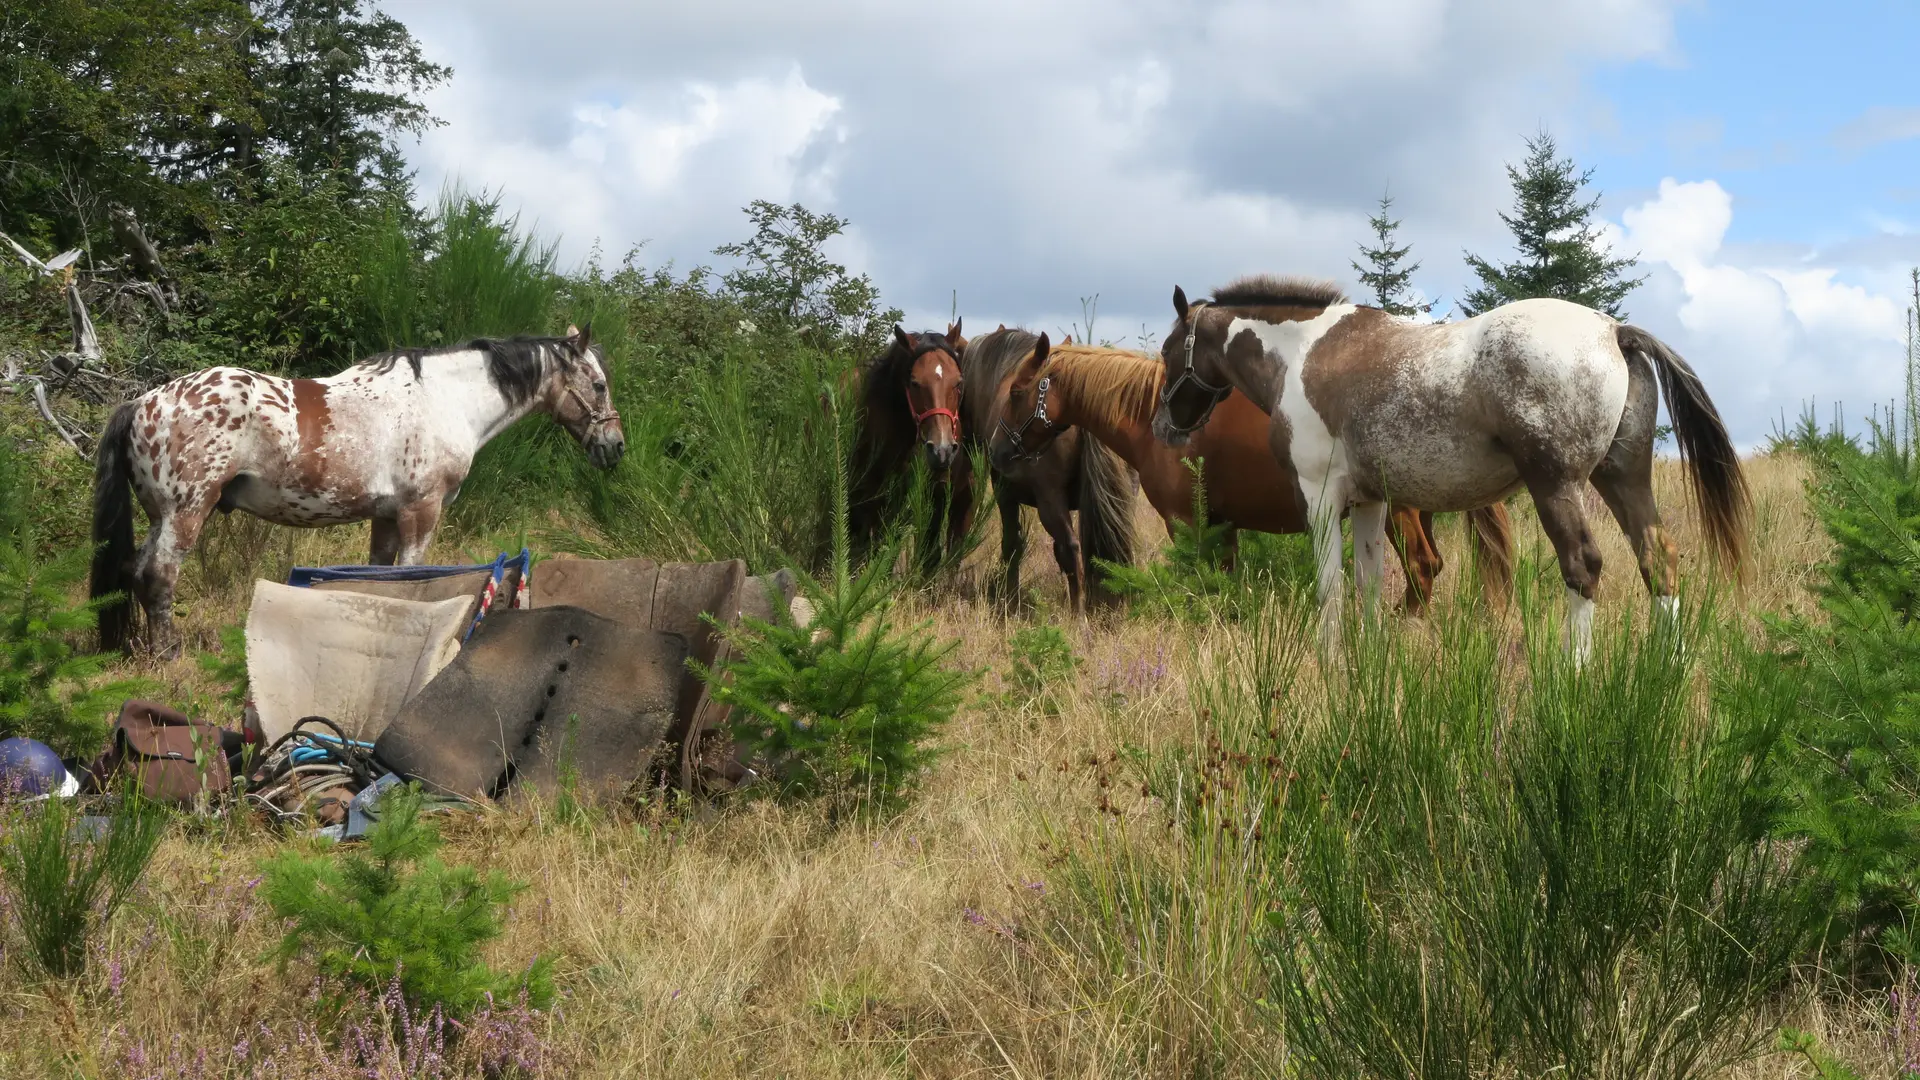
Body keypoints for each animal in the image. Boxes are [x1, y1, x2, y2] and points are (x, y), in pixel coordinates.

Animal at [990, 332, 1512, 611]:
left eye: (1016, 392)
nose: (995, 453)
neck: (1153, 417)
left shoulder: (1186, 524)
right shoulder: (1223, 526)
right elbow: (1224, 582)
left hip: (1400, 512)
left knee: (1422, 567)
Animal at [1144, 272, 1751, 661]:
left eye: (1171, 351)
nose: (1163, 426)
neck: (1303, 353)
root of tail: (1613, 331)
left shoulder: (1319, 498)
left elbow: (1331, 589)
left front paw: (1331, 663)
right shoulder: (1371, 503)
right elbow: (1367, 585)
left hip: (1557, 485)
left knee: (1583, 566)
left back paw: (1572, 677)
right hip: (1622, 480)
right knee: (1658, 558)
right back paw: (1665, 670)